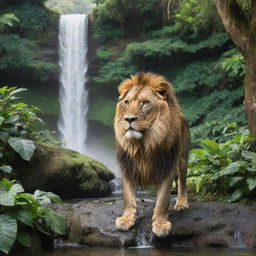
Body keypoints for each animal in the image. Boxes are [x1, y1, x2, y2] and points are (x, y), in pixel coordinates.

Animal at [114, 71, 190, 238]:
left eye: (145, 103)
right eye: (127, 102)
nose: (128, 119)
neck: (144, 144)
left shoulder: (167, 167)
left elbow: (162, 200)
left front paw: (161, 224)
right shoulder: (127, 167)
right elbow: (128, 197)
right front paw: (126, 219)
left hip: (182, 158)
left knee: (182, 182)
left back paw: (181, 203)